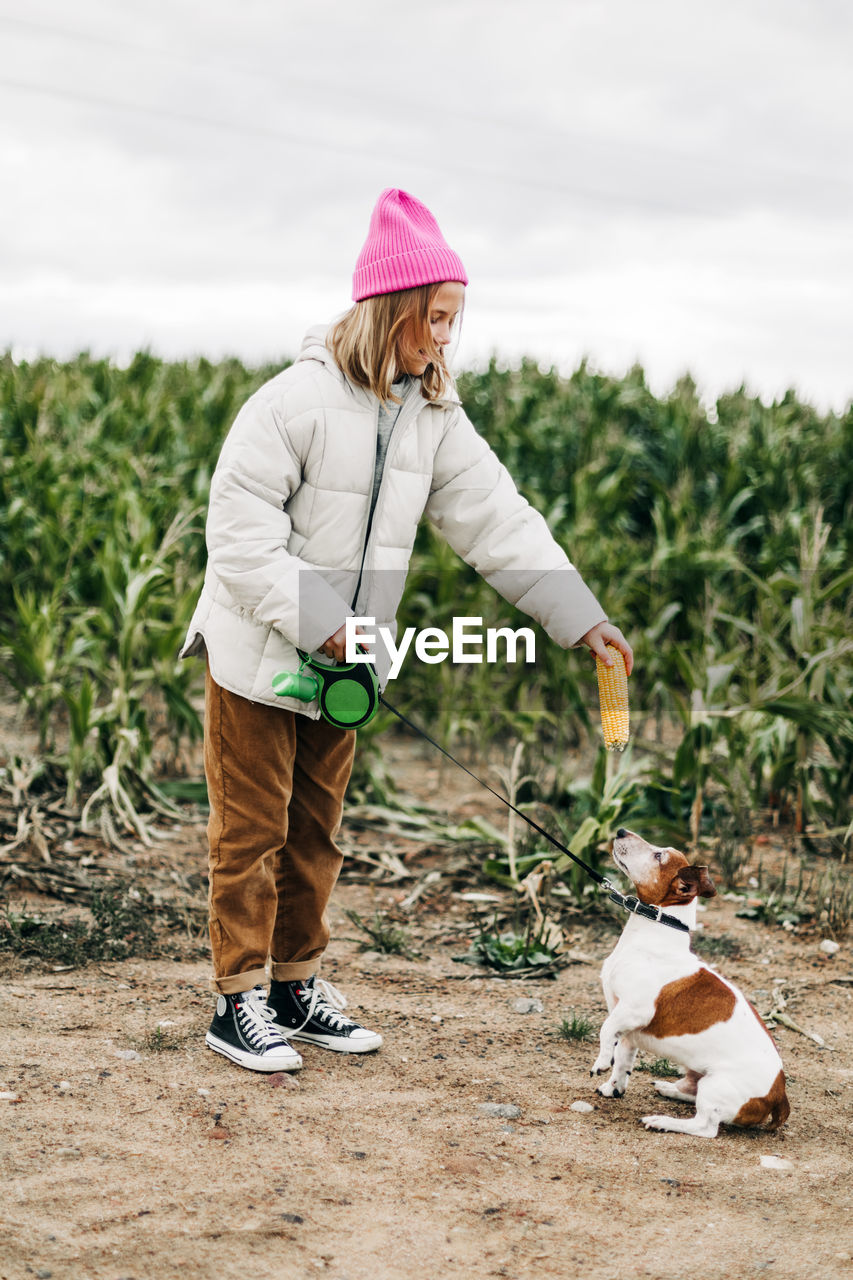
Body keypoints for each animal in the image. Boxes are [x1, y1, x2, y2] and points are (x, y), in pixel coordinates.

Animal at [589, 829, 788, 1141]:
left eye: (658, 856)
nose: (621, 831)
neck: (656, 930)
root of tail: (779, 1095)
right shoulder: (629, 1030)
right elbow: (622, 1061)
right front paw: (614, 1087)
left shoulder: (634, 1011)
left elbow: (606, 1030)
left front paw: (600, 1062)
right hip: (699, 1075)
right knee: (691, 1093)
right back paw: (669, 1088)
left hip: (715, 1086)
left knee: (705, 1126)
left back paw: (662, 1121)